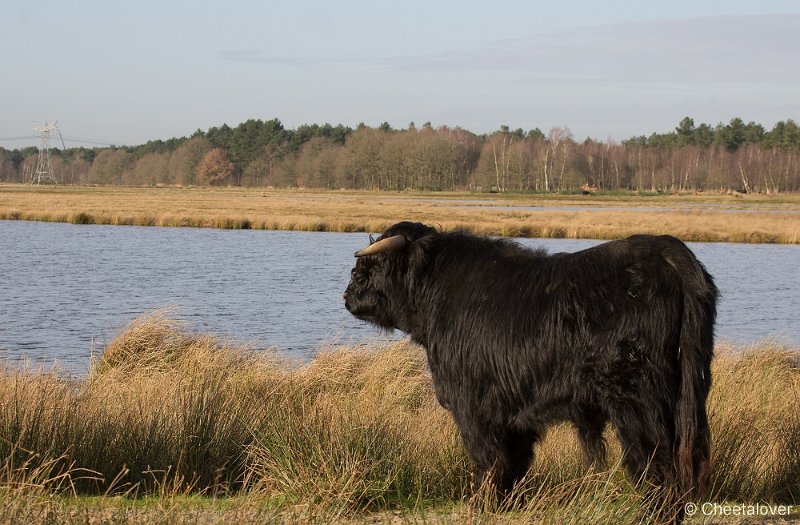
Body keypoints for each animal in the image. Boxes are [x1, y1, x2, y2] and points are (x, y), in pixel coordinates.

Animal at [344, 220, 720, 508]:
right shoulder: (514, 407)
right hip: (686, 388)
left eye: (368, 269)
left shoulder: (473, 403)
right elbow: (514, 460)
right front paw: (506, 502)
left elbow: (487, 456)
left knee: (654, 458)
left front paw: (482, 503)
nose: (347, 296)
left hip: (637, 394)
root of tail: (665, 250)